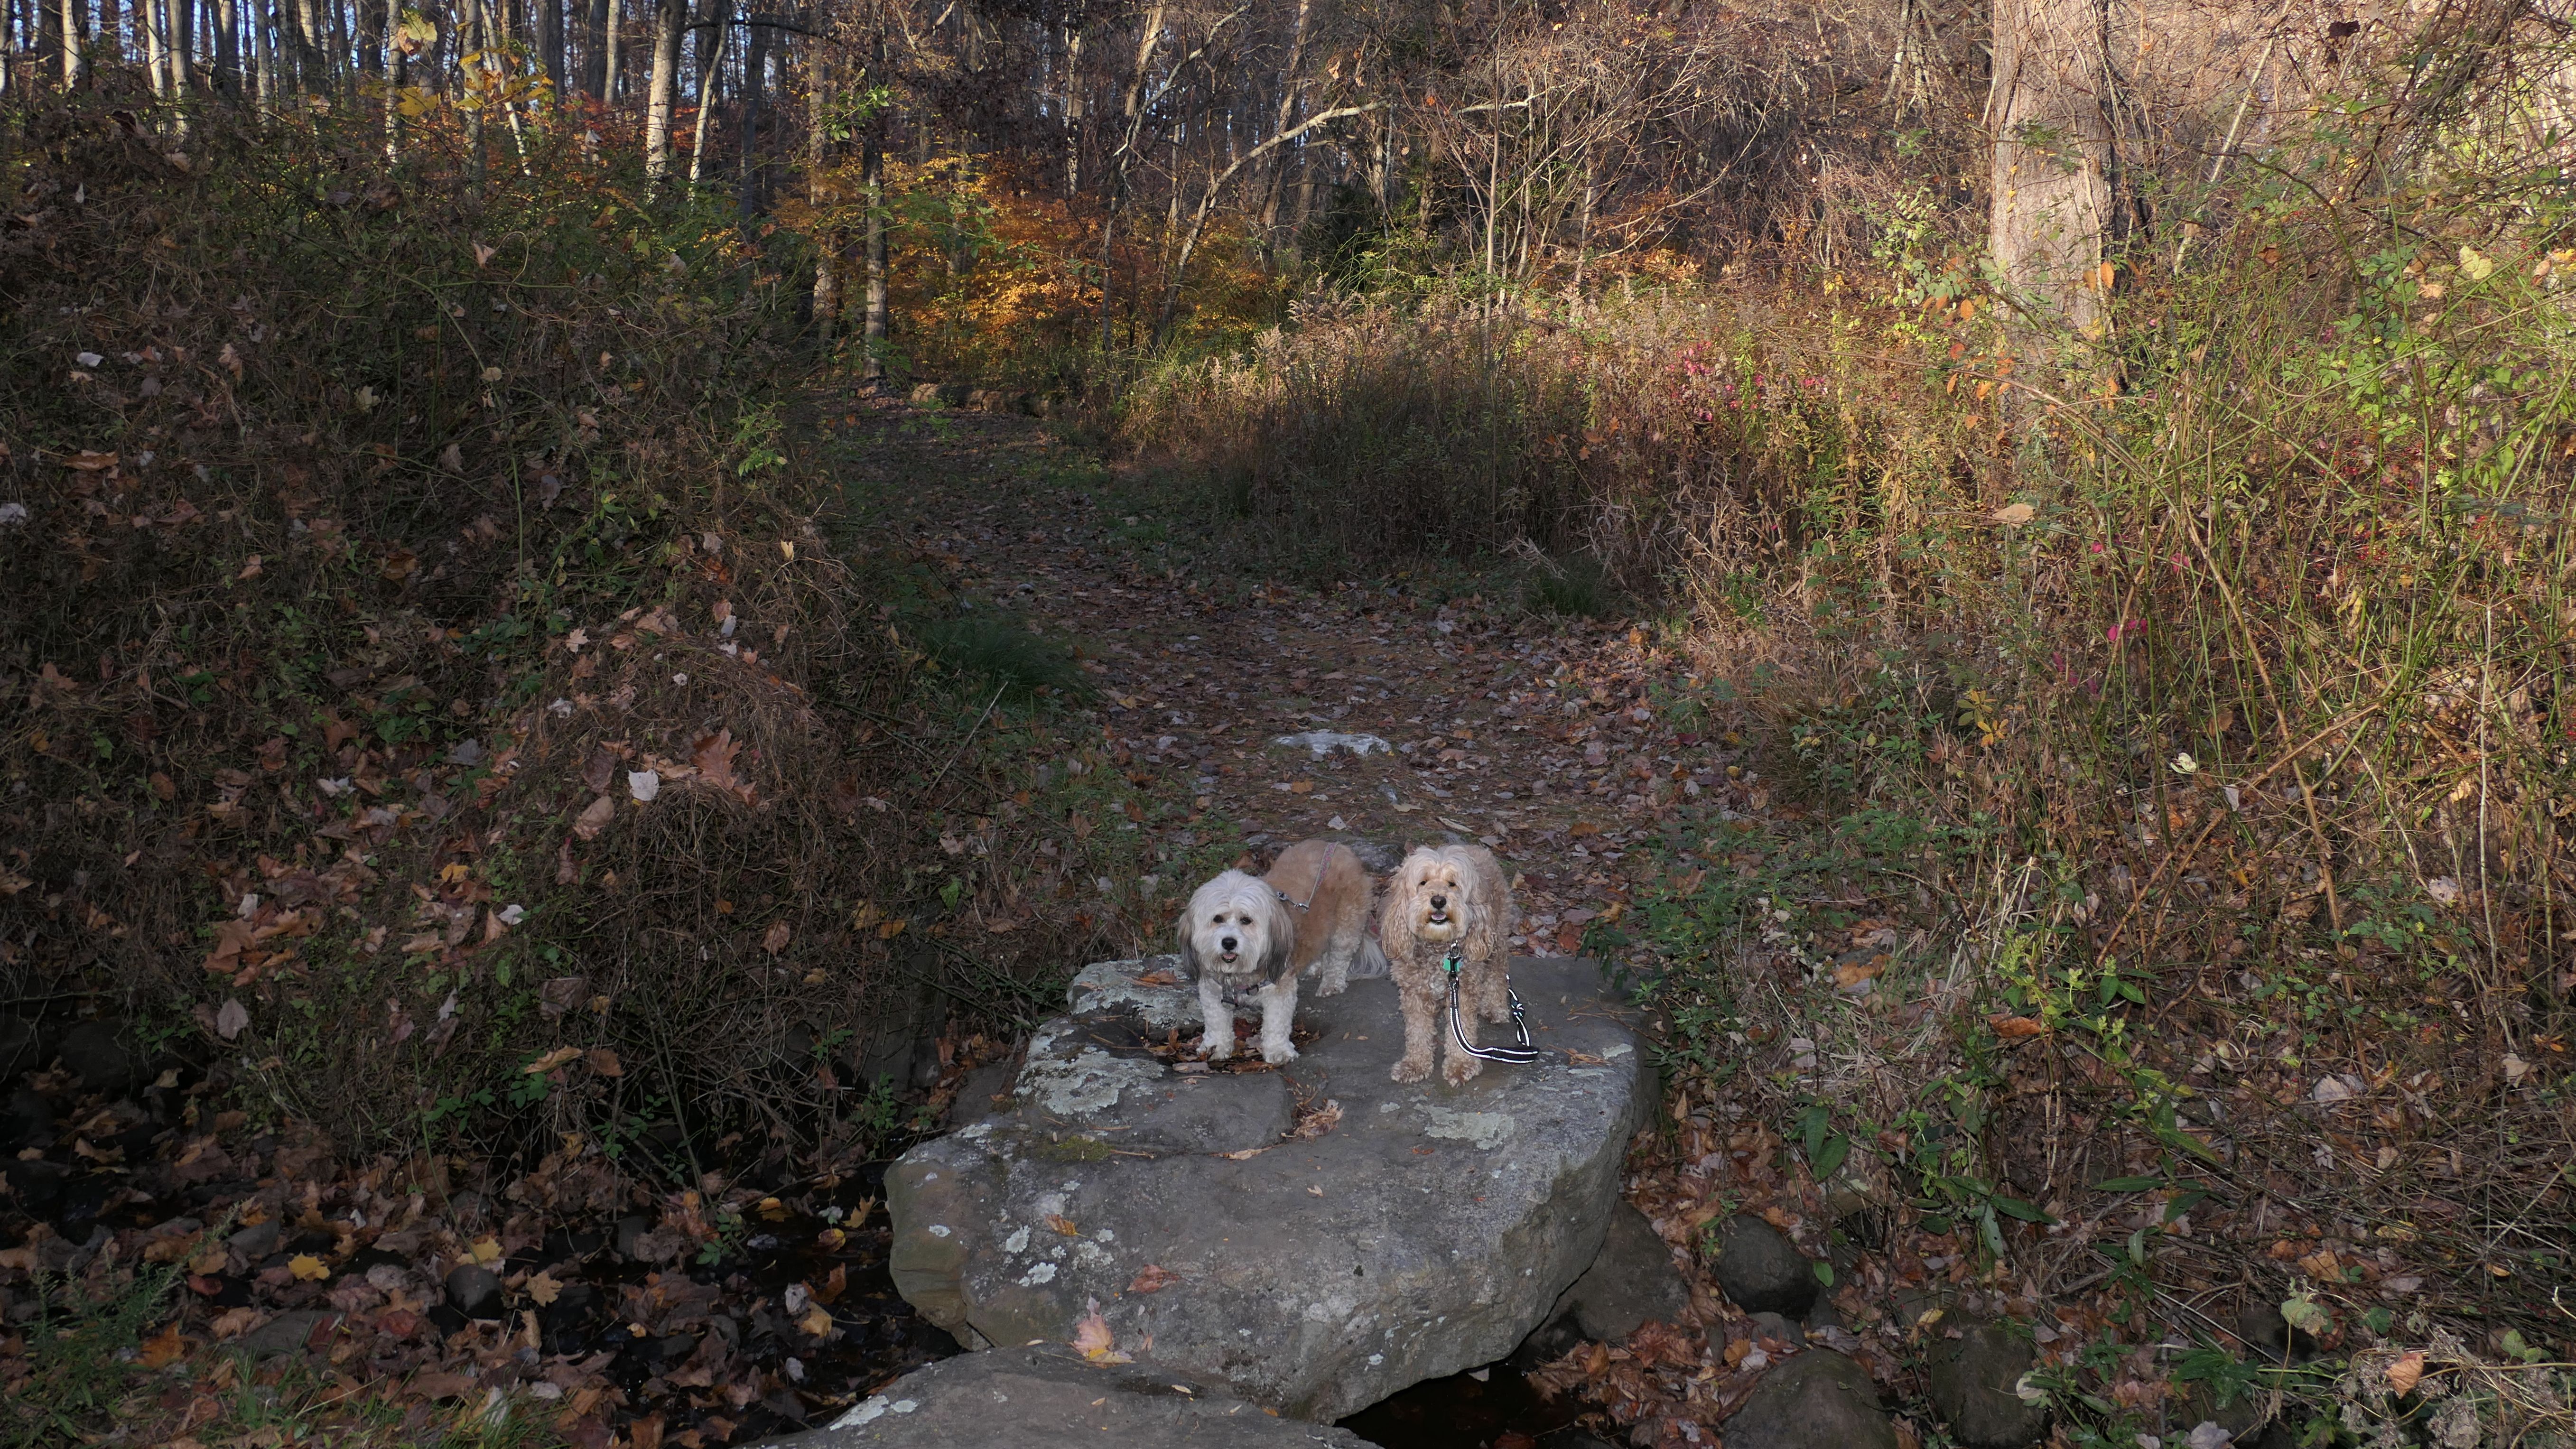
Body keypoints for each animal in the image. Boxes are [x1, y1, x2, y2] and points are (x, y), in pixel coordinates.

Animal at [1177, 839, 1385, 1065]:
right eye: (1217, 919)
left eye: (1246, 920)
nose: (1229, 942)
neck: (1239, 975)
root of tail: (1339, 847)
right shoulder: (1212, 991)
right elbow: (1216, 1022)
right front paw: (1215, 1046)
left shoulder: (1280, 989)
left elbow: (1276, 1023)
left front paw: (1279, 1051)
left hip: (1346, 925)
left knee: (1339, 956)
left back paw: (1331, 984)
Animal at [1379, 843, 1516, 1085]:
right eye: (1423, 882)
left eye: (1452, 884)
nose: (1438, 900)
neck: (1439, 947)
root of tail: (1478, 848)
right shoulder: (1414, 992)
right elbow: (1417, 1031)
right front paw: (1415, 1064)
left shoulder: (1462, 992)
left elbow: (1461, 1031)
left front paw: (1461, 1065)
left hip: (1496, 940)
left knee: (1498, 974)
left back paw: (1495, 1007)